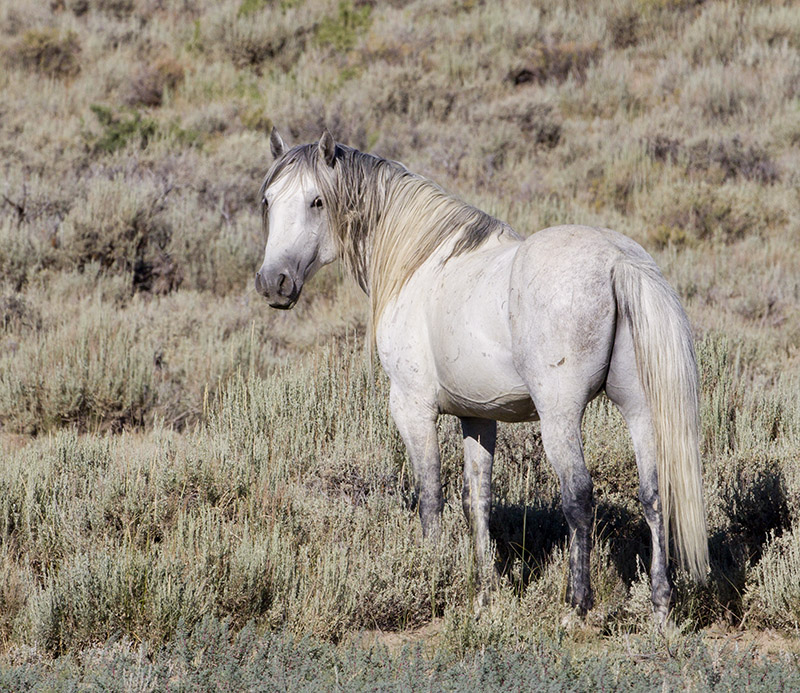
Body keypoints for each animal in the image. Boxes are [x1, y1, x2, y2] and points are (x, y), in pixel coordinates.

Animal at [254, 128, 708, 620]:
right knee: (654, 495)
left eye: (317, 201)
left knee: (579, 497)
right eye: (268, 201)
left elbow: (431, 495)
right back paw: (660, 604)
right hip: (640, 409)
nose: (273, 282)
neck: (422, 264)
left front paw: (432, 576)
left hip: (560, 415)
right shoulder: (477, 417)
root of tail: (617, 261)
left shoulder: (412, 408)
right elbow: (478, 500)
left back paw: (576, 605)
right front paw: (485, 592)